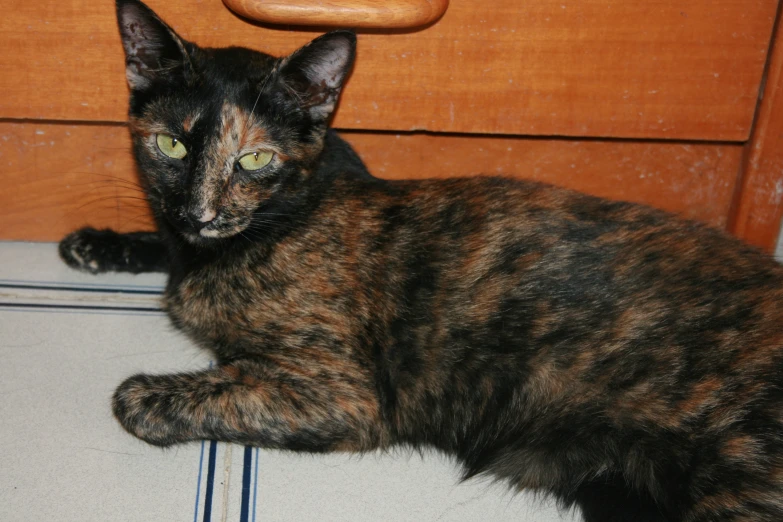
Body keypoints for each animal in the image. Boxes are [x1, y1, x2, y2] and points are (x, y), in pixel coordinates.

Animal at [58, 2, 783, 516]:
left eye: (255, 159)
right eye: (171, 147)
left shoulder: (339, 393)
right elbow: (162, 242)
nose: (201, 213)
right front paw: (101, 242)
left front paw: (148, 388)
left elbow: (154, 396)